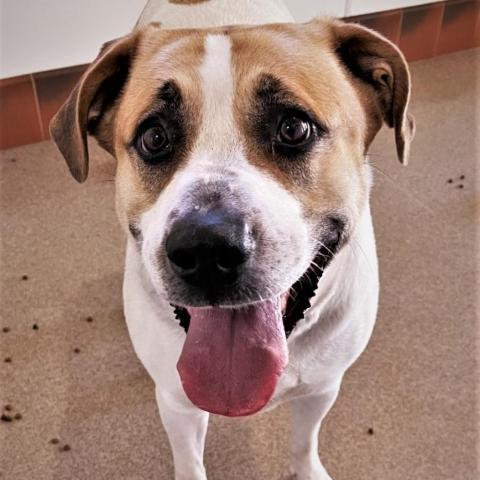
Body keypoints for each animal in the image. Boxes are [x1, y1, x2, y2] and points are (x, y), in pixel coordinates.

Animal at [50, 1, 414, 478]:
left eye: (294, 128)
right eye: (154, 137)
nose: (206, 249)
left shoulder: (321, 386)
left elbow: (304, 442)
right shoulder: (178, 402)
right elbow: (189, 460)